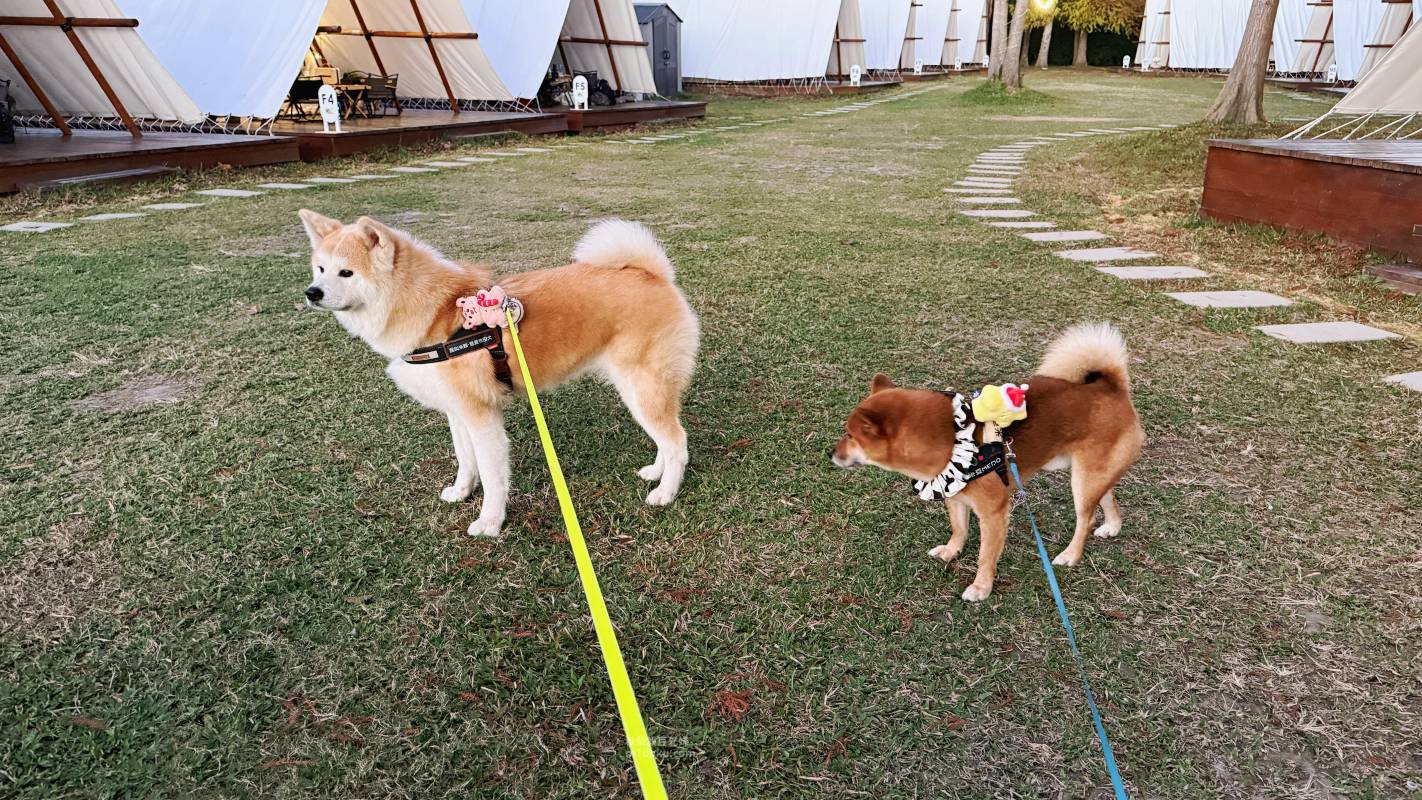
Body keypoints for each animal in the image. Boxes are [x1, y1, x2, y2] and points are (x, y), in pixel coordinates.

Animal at [298, 211, 699, 537]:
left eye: (346, 272)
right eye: (320, 269)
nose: (311, 293)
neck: (436, 315)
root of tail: (652, 273)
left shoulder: (482, 416)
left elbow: (492, 476)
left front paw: (490, 522)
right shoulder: (458, 412)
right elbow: (465, 461)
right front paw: (461, 492)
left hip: (642, 388)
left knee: (677, 441)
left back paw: (665, 492)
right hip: (640, 391)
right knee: (666, 438)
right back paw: (655, 472)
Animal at [831, 322, 1144, 602]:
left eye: (849, 435)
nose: (830, 454)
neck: (948, 440)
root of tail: (1111, 386)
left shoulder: (993, 512)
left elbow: (985, 555)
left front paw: (981, 588)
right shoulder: (954, 495)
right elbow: (959, 529)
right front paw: (951, 551)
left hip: (1083, 479)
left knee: (1086, 517)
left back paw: (1071, 555)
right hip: (1090, 472)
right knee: (1107, 495)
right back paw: (1112, 526)